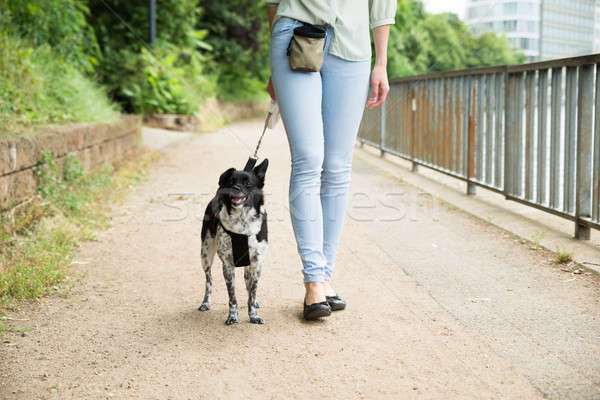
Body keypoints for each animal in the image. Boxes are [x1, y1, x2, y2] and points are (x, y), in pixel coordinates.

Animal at [198, 159, 268, 324]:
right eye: (231, 182)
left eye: (248, 183)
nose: (235, 188)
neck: (242, 221)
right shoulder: (228, 265)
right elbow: (232, 297)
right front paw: (232, 317)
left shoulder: (256, 263)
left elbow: (252, 291)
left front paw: (253, 315)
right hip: (205, 255)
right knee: (208, 280)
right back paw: (206, 302)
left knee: (249, 284)